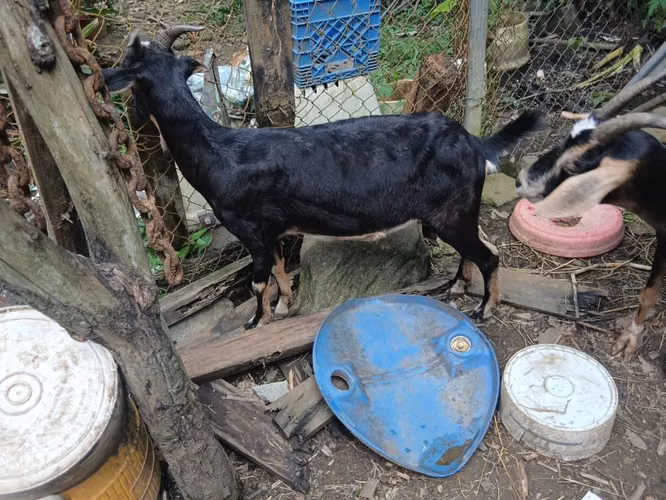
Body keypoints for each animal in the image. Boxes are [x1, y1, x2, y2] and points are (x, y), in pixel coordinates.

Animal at [103, 26, 542, 329]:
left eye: (130, 74)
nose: (109, 85)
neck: (220, 152)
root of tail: (473, 142)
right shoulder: (273, 231)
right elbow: (280, 269)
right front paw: (285, 305)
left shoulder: (253, 230)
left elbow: (258, 281)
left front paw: (257, 320)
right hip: (455, 211)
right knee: (475, 248)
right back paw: (456, 287)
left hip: (450, 211)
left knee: (489, 254)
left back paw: (485, 308)